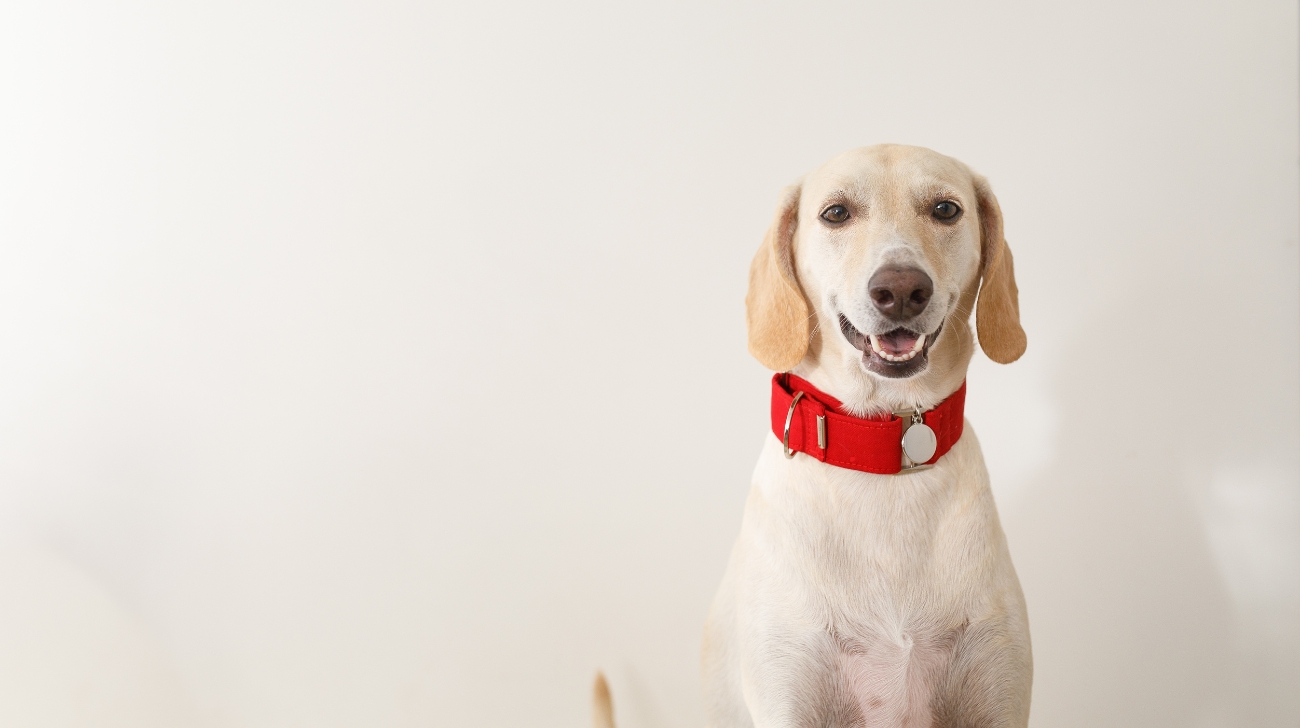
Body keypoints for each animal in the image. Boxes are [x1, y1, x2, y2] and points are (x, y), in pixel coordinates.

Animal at [595, 144, 1029, 722]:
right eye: (836, 213)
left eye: (945, 210)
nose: (901, 289)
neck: (880, 451)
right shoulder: (788, 694)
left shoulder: (999, 696)